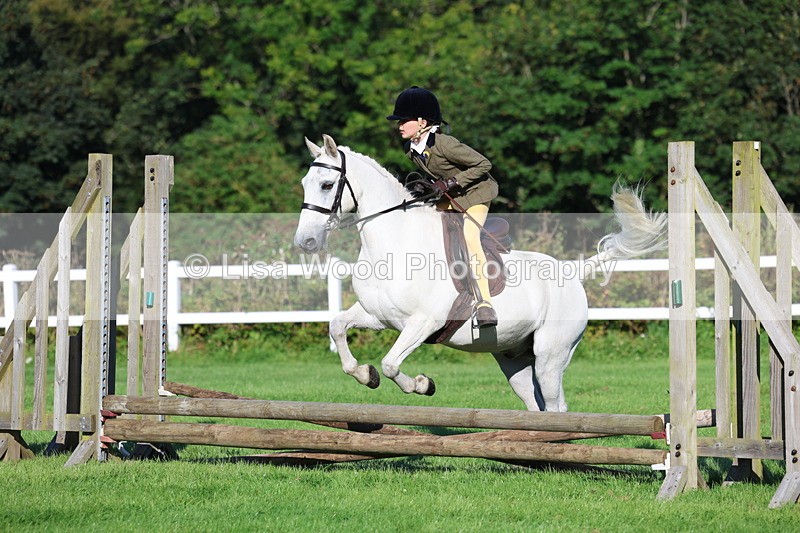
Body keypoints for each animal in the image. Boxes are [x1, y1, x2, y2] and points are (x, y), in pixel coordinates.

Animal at [294, 134, 666, 412]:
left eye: (327, 185)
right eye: (305, 183)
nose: (305, 241)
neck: (395, 241)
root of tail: (571, 271)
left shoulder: (423, 322)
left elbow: (391, 364)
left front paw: (423, 384)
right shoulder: (377, 315)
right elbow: (338, 327)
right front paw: (364, 374)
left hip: (552, 355)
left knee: (556, 406)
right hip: (514, 359)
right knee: (535, 404)